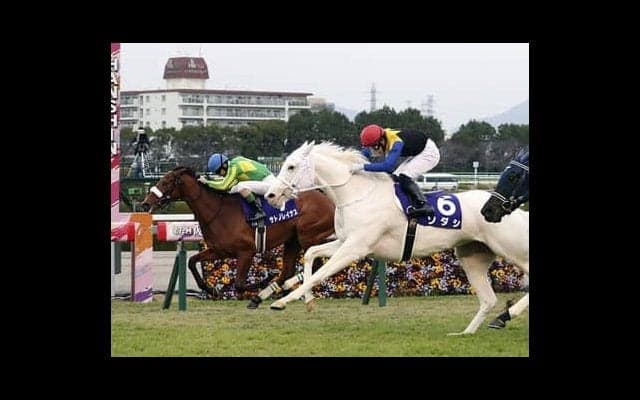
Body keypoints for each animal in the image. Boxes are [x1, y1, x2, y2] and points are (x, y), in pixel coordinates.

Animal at [140, 166, 335, 308]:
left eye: (165, 182)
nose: (145, 203)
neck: (219, 212)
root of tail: (329, 201)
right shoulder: (219, 251)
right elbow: (191, 261)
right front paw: (211, 290)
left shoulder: (246, 252)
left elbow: (240, 284)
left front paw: (263, 280)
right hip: (292, 240)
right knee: (288, 270)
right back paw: (266, 295)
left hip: (307, 236)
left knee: (316, 265)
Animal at [265, 142, 529, 335]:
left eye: (291, 166)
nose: (270, 195)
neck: (357, 195)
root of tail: (510, 210)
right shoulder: (344, 241)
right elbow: (311, 254)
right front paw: (307, 300)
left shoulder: (355, 248)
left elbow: (322, 272)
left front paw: (284, 300)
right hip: (472, 256)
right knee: (488, 299)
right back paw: (467, 332)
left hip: (513, 251)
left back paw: (507, 314)